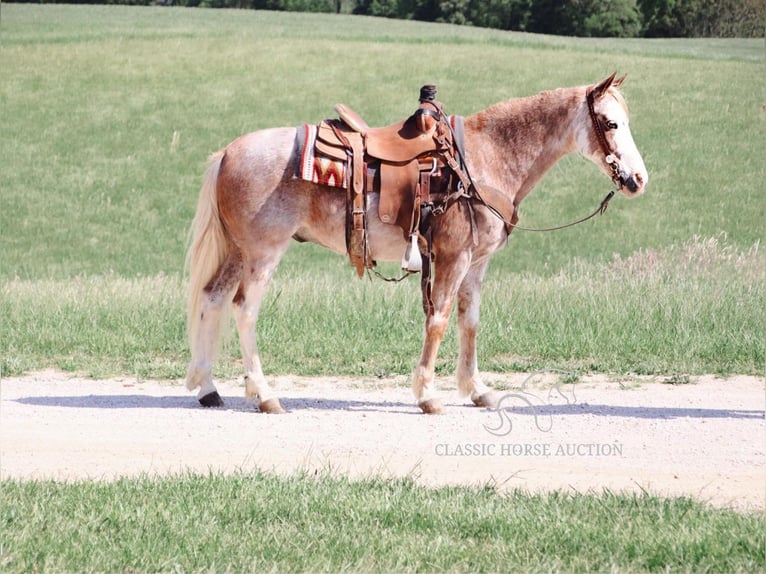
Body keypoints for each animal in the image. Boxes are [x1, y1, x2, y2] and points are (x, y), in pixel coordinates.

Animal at [184, 73, 648, 414]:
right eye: (611, 124)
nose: (638, 179)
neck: (483, 160)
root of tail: (227, 153)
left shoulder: (477, 263)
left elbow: (469, 321)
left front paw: (477, 390)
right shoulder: (453, 257)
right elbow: (439, 319)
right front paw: (427, 395)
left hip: (237, 251)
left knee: (212, 298)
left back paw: (208, 388)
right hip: (263, 253)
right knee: (244, 309)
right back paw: (265, 396)